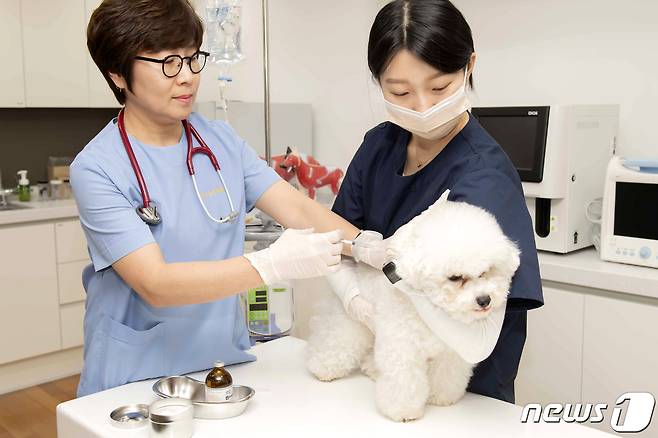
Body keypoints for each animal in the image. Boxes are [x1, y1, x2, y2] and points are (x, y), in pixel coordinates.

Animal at [304, 193, 520, 422]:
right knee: (335, 341)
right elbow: (404, 381)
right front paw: (404, 411)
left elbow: (446, 375)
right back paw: (323, 368)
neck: (433, 311)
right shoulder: (403, 348)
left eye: (487, 271)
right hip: (350, 320)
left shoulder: (452, 351)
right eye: (455, 278)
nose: (485, 299)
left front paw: (441, 397)